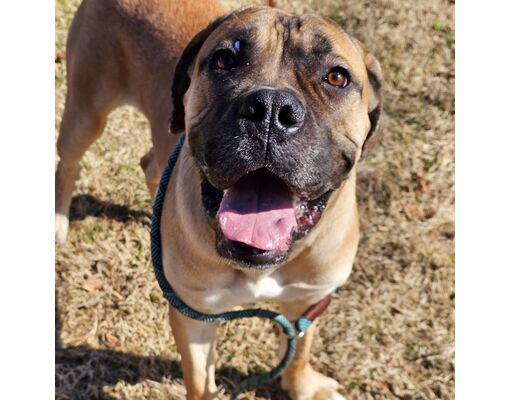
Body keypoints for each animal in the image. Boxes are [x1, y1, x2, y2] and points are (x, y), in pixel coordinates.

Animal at [55, 1, 382, 398]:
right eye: (225, 60)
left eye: (336, 77)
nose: (270, 110)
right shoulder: (194, 314)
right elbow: (199, 379)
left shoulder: (309, 300)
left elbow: (299, 350)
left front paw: (302, 386)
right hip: (86, 111)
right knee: (68, 162)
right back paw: (57, 222)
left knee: (150, 162)